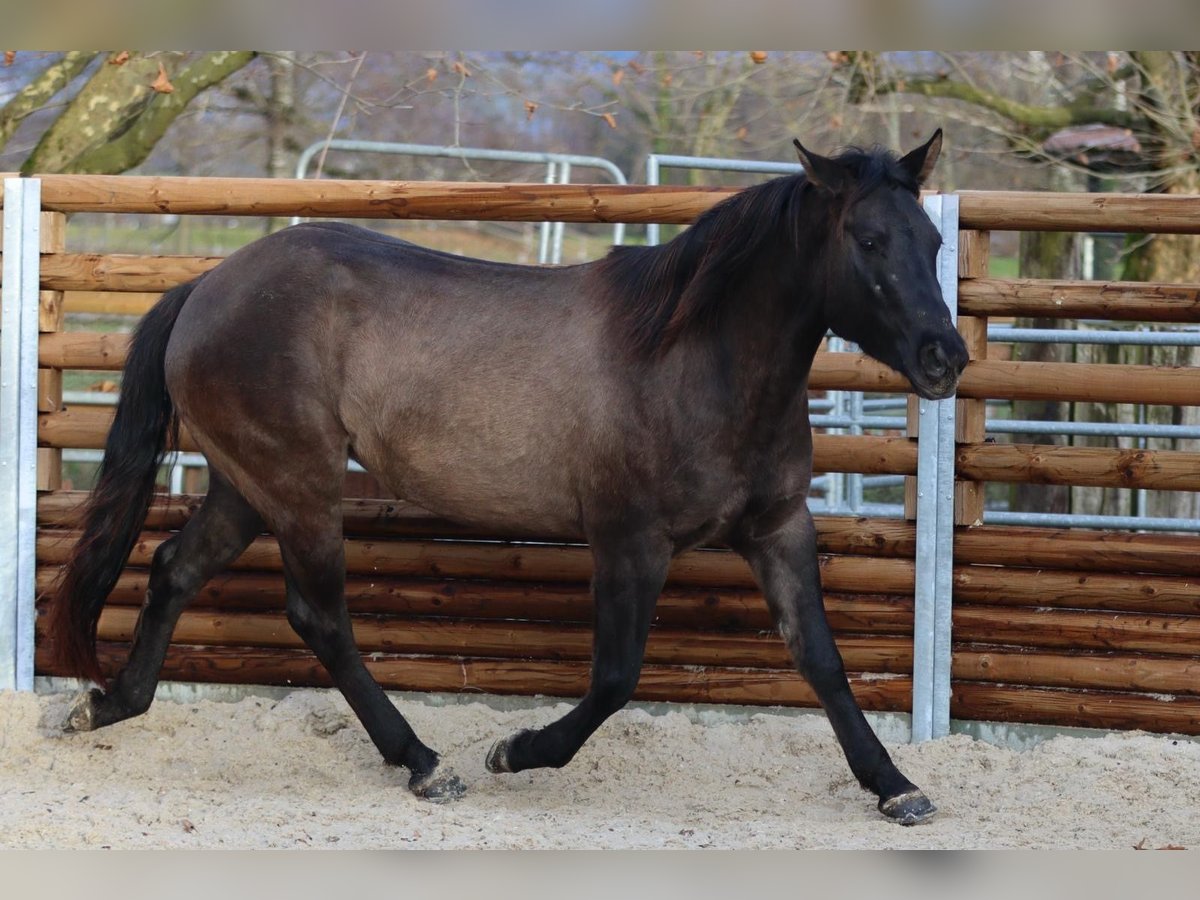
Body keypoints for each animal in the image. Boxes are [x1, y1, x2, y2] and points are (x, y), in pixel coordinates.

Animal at [49, 130, 966, 824]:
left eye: (932, 242)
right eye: (869, 241)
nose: (945, 358)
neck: (695, 361)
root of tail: (206, 285)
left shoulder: (777, 529)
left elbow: (821, 659)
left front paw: (897, 788)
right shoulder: (629, 541)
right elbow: (615, 678)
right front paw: (515, 751)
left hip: (246, 487)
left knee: (174, 569)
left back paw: (107, 703)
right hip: (299, 485)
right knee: (320, 617)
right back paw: (425, 762)